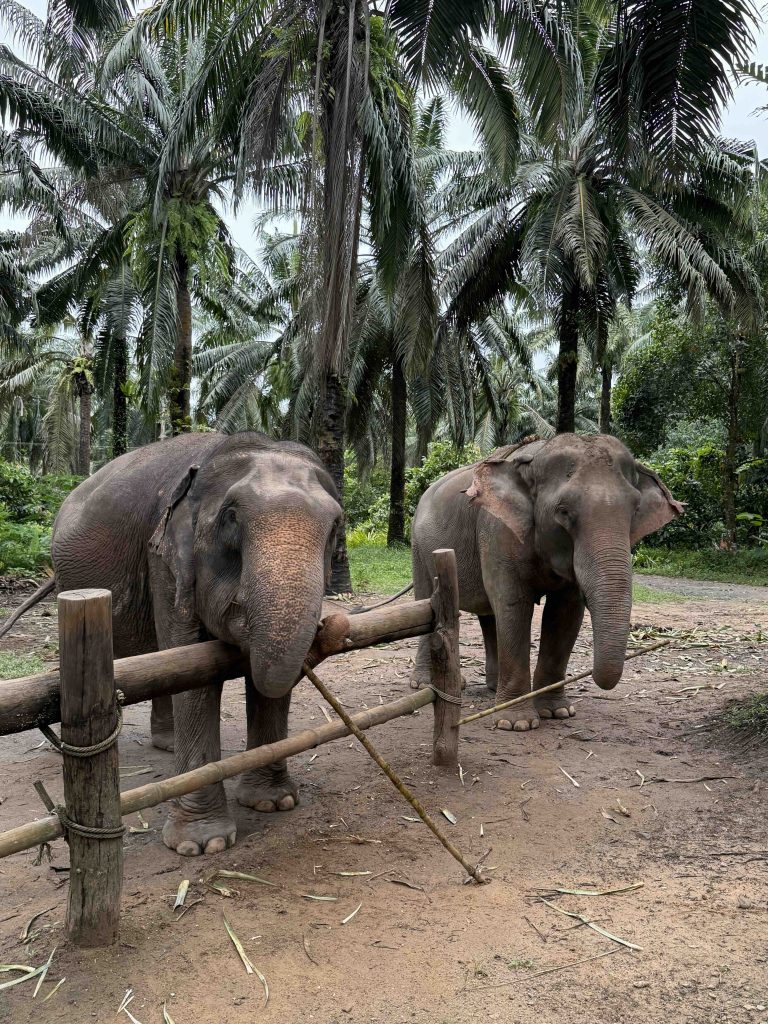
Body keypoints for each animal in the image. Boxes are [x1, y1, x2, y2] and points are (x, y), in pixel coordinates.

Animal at [50, 431, 342, 855]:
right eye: (230, 518)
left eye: (336, 526)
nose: (331, 628)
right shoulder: (163, 560)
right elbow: (195, 675)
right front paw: (202, 845)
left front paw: (273, 804)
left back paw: (168, 745)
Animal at [409, 434, 682, 730]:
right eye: (563, 511)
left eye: (635, 510)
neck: (534, 458)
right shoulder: (498, 531)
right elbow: (513, 604)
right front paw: (515, 723)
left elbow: (564, 612)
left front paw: (557, 712)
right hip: (419, 548)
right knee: (427, 600)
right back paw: (426, 684)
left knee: (488, 615)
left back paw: (493, 689)